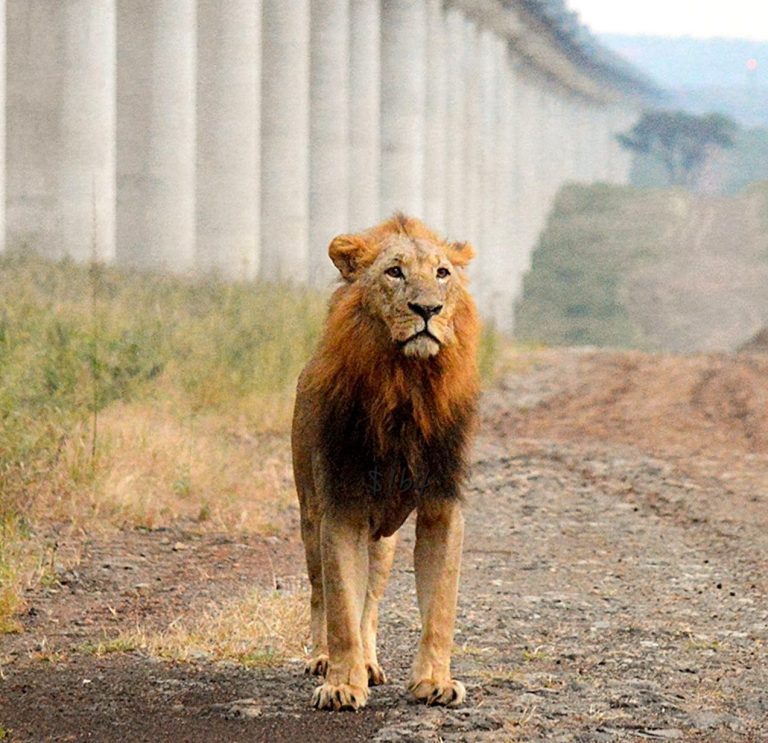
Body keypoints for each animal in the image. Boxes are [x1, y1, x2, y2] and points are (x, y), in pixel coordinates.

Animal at [292, 212, 476, 712]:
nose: (427, 309)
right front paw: (341, 684)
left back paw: (371, 664)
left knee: (370, 601)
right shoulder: (341, 507)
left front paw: (434, 681)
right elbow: (340, 605)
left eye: (442, 273)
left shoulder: (441, 506)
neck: (406, 385)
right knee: (320, 591)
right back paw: (323, 659)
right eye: (394, 272)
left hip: (384, 540)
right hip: (310, 516)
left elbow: (440, 607)